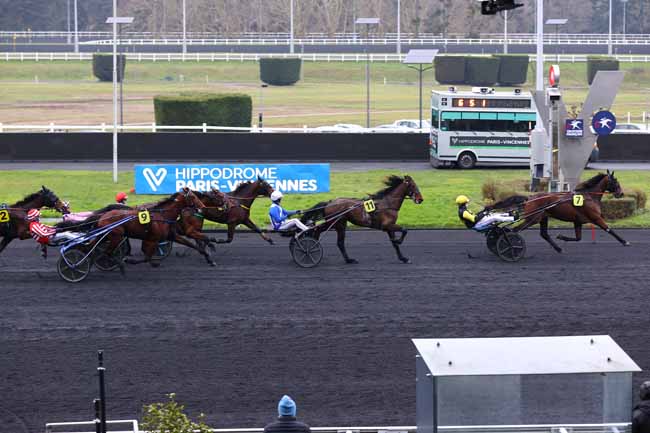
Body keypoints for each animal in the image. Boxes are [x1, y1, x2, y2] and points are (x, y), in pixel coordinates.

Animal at [492, 170, 628, 253]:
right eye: (615, 181)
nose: (621, 193)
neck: (589, 196)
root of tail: (529, 198)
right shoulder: (596, 218)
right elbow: (609, 229)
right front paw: (624, 241)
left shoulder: (578, 221)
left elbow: (578, 238)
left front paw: (561, 236)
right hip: (533, 218)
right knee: (514, 230)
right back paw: (510, 245)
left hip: (543, 217)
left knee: (544, 234)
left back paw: (558, 249)